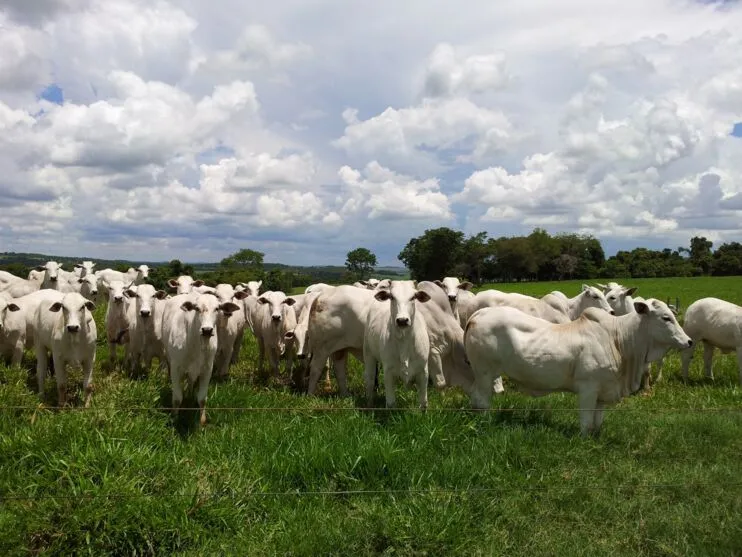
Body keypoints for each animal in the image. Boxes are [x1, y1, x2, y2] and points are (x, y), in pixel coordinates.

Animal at [162, 292, 241, 426]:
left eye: (217, 308)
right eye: (197, 308)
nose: (207, 330)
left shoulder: (207, 369)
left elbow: (202, 398)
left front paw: (202, 421)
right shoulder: (175, 368)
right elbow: (177, 398)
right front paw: (174, 418)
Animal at [468, 298, 696, 436]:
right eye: (666, 318)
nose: (689, 341)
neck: (619, 339)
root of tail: (477, 315)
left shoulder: (604, 390)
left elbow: (597, 421)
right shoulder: (588, 388)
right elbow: (586, 422)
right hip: (483, 372)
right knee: (482, 401)